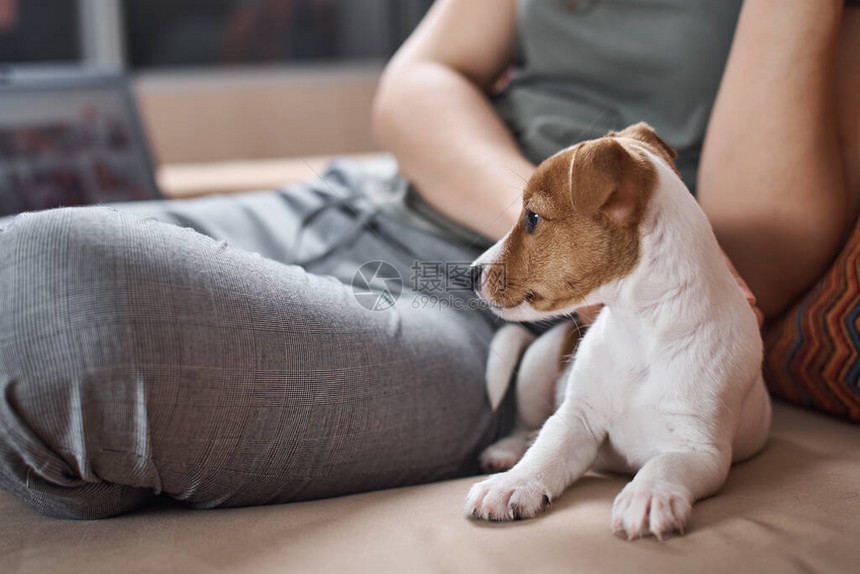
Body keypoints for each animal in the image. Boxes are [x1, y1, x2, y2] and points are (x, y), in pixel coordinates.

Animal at [466, 124, 768, 544]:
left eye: (532, 217)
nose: (470, 274)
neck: (638, 330)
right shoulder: (577, 420)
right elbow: (545, 451)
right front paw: (512, 484)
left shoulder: (699, 450)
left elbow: (664, 466)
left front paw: (647, 496)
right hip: (537, 368)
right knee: (526, 426)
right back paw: (507, 451)